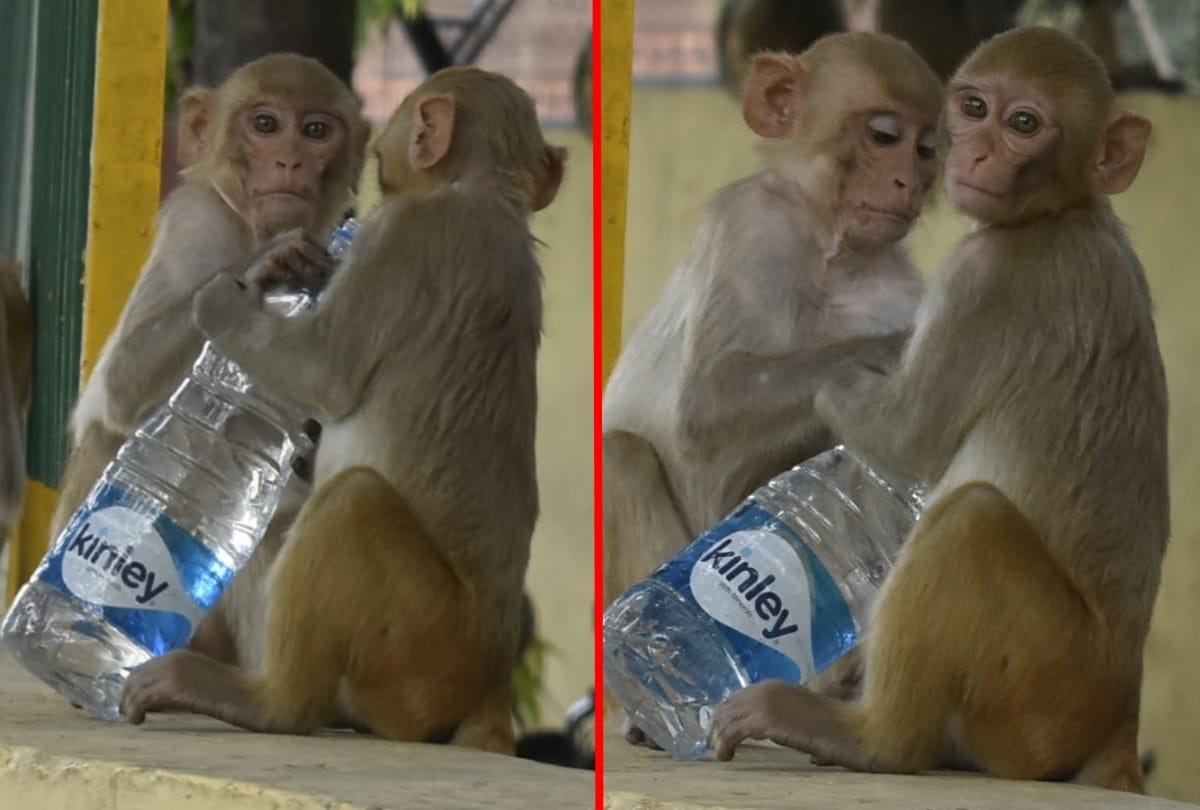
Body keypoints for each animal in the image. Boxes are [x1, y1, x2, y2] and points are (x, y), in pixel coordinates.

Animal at [51, 53, 370, 670]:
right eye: (265, 125)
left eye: (316, 130)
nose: (289, 159)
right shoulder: (196, 223)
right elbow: (122, 387)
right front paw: (266, 264)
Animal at [118, 66, 565, 755]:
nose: (384, 156)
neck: (484, 196)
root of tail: (491, 680)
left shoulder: (402, 237)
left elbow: (322, 372)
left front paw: (231, 292)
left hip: (420, 649)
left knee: (351, 502)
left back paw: (269, 703)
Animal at [708, 27, 1166, 794]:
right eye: (975, 107)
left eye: (1023, 124)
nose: (974, 153)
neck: (1065, 212)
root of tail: (1122, 712)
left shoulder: (988, 278)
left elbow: (910, 438)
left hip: (1043, 692)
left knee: (970, 519)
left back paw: (870, 739)